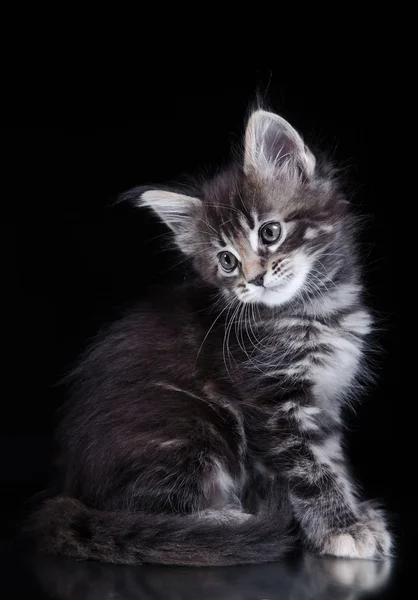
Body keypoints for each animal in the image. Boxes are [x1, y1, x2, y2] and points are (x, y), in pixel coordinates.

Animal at [28, 109, 392, 568]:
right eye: (227, 261)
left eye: (269, 233)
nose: (254, 279)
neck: (317, 310)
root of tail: (66, 489)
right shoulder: (272, 409)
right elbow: (311, 471)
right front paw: (342, 530)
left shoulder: (323, 405)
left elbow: (334, 461)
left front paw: (355, 514)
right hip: (191, 426)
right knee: (141, 512)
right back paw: (226, 523)